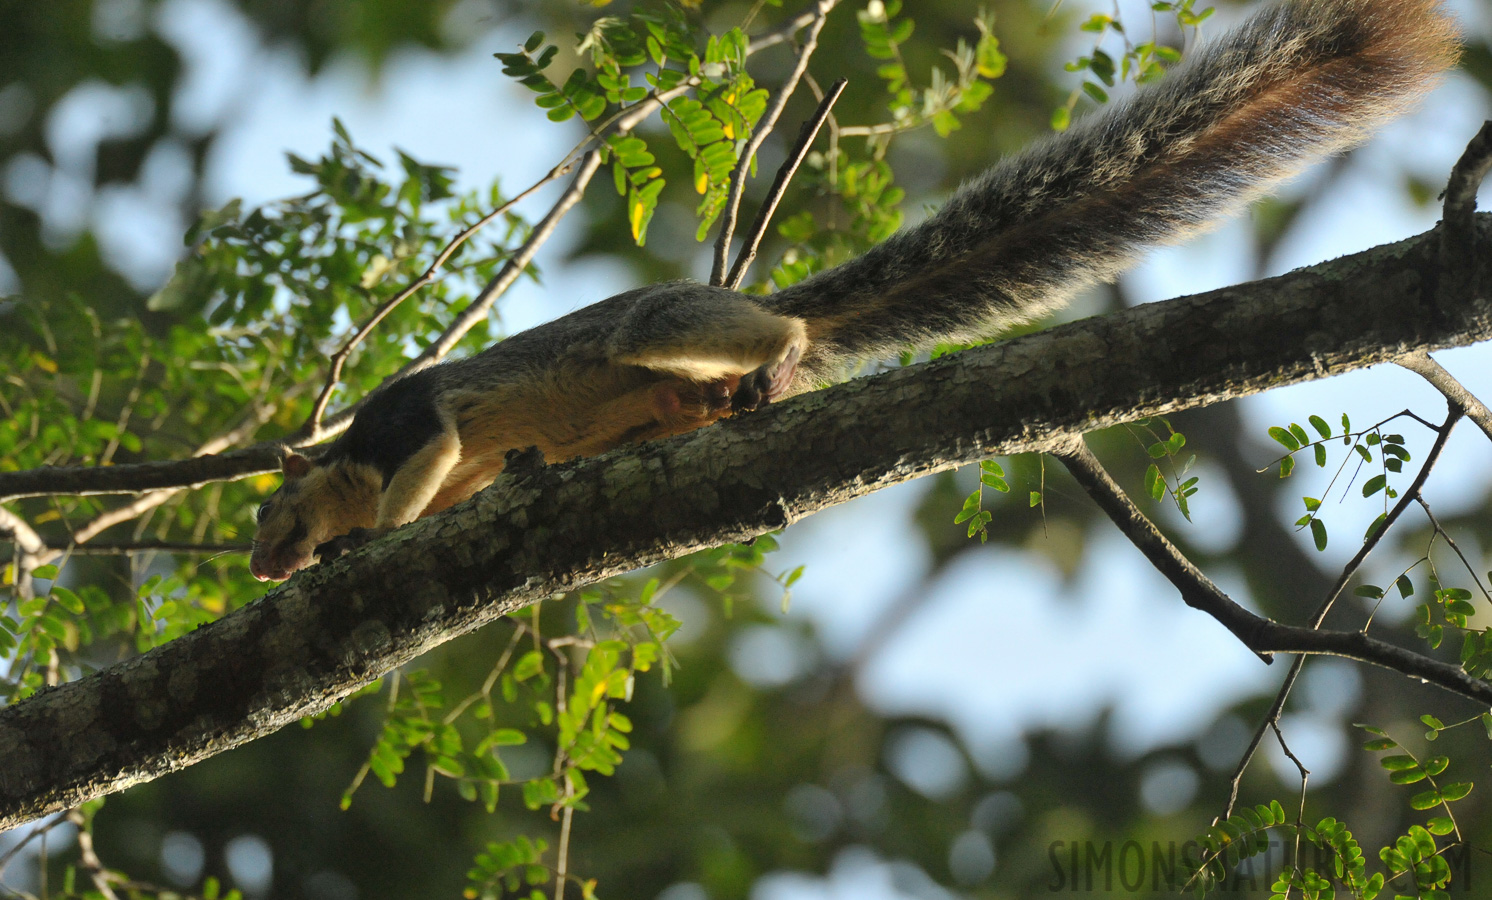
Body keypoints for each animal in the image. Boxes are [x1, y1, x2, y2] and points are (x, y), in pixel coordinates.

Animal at [247, 0, 1456, 582]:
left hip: (660, 323)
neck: (348, 466)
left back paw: (779, 349)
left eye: (268, 511)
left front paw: (359, 542)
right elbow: (460, 485)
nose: (259, 565)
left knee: (750, 325)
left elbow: (429, 457)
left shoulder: (406, 421)